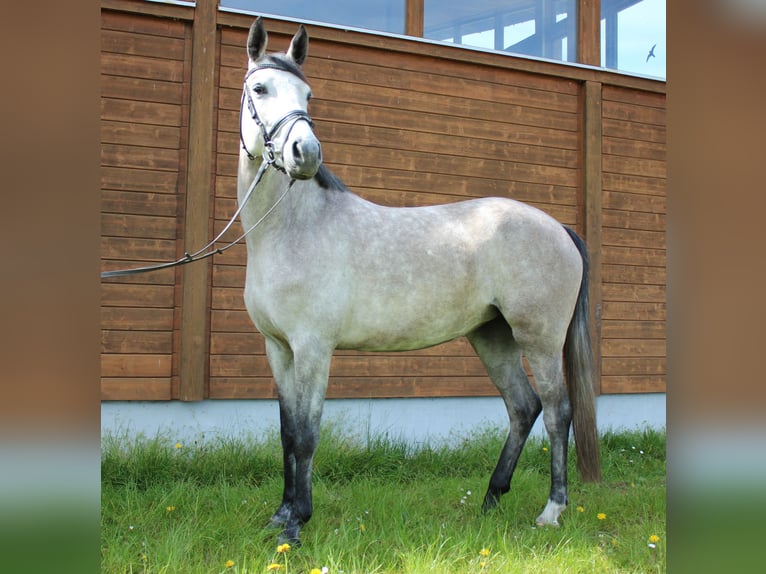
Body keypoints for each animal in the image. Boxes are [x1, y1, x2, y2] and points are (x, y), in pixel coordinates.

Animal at [237, 18, 604, 548]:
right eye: (260, 88)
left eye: (308, 95)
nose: (304, 153)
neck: (291, 229)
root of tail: (559, 228)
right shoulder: (278, 348)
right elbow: (287, 433)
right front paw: (280, 516)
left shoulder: (312, 348)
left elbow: (306, 435)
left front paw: (297, 524)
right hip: (491, 337)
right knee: (523, 407)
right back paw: (492, 499)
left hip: (539, 339)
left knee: (557, 411)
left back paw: (552, 509)